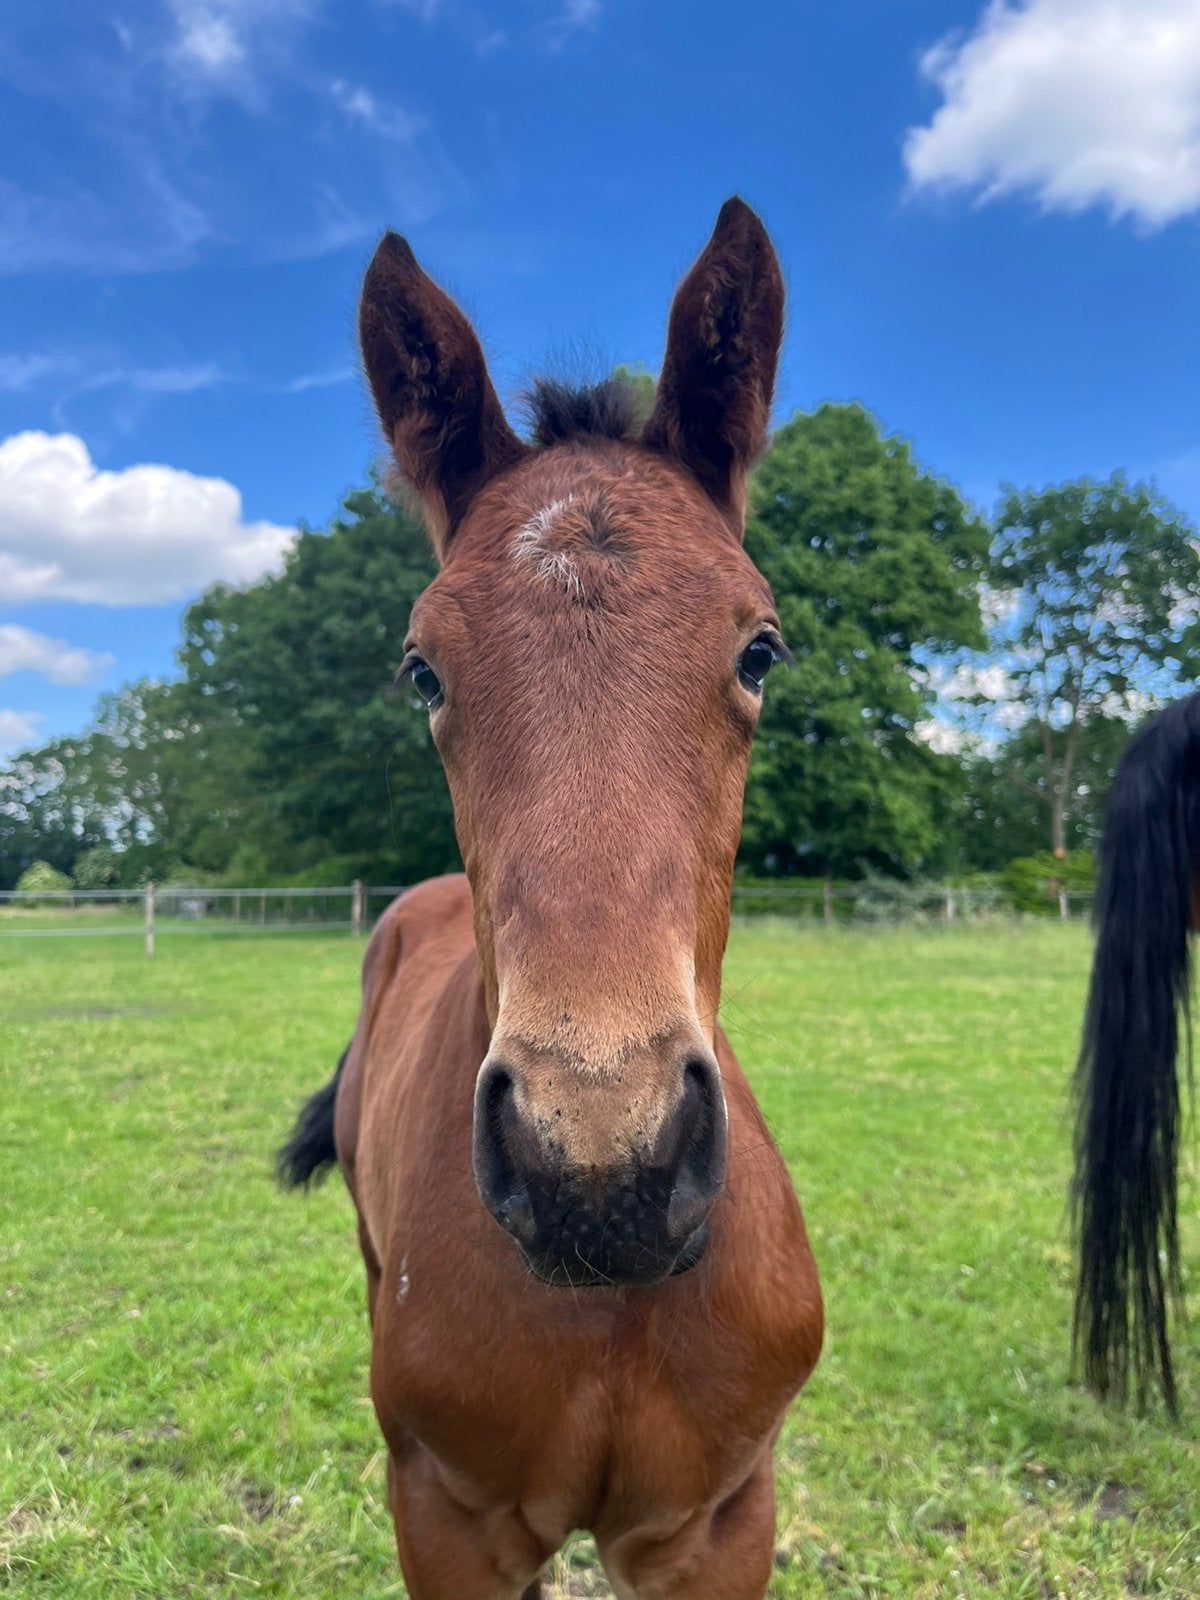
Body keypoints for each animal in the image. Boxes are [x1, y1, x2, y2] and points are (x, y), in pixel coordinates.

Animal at [277, 198, 824, 1598]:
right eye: (422, 669)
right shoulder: (449, 1517)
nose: (600, 1169)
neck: (609, 1308)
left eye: (760, 648)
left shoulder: (717, 1524)